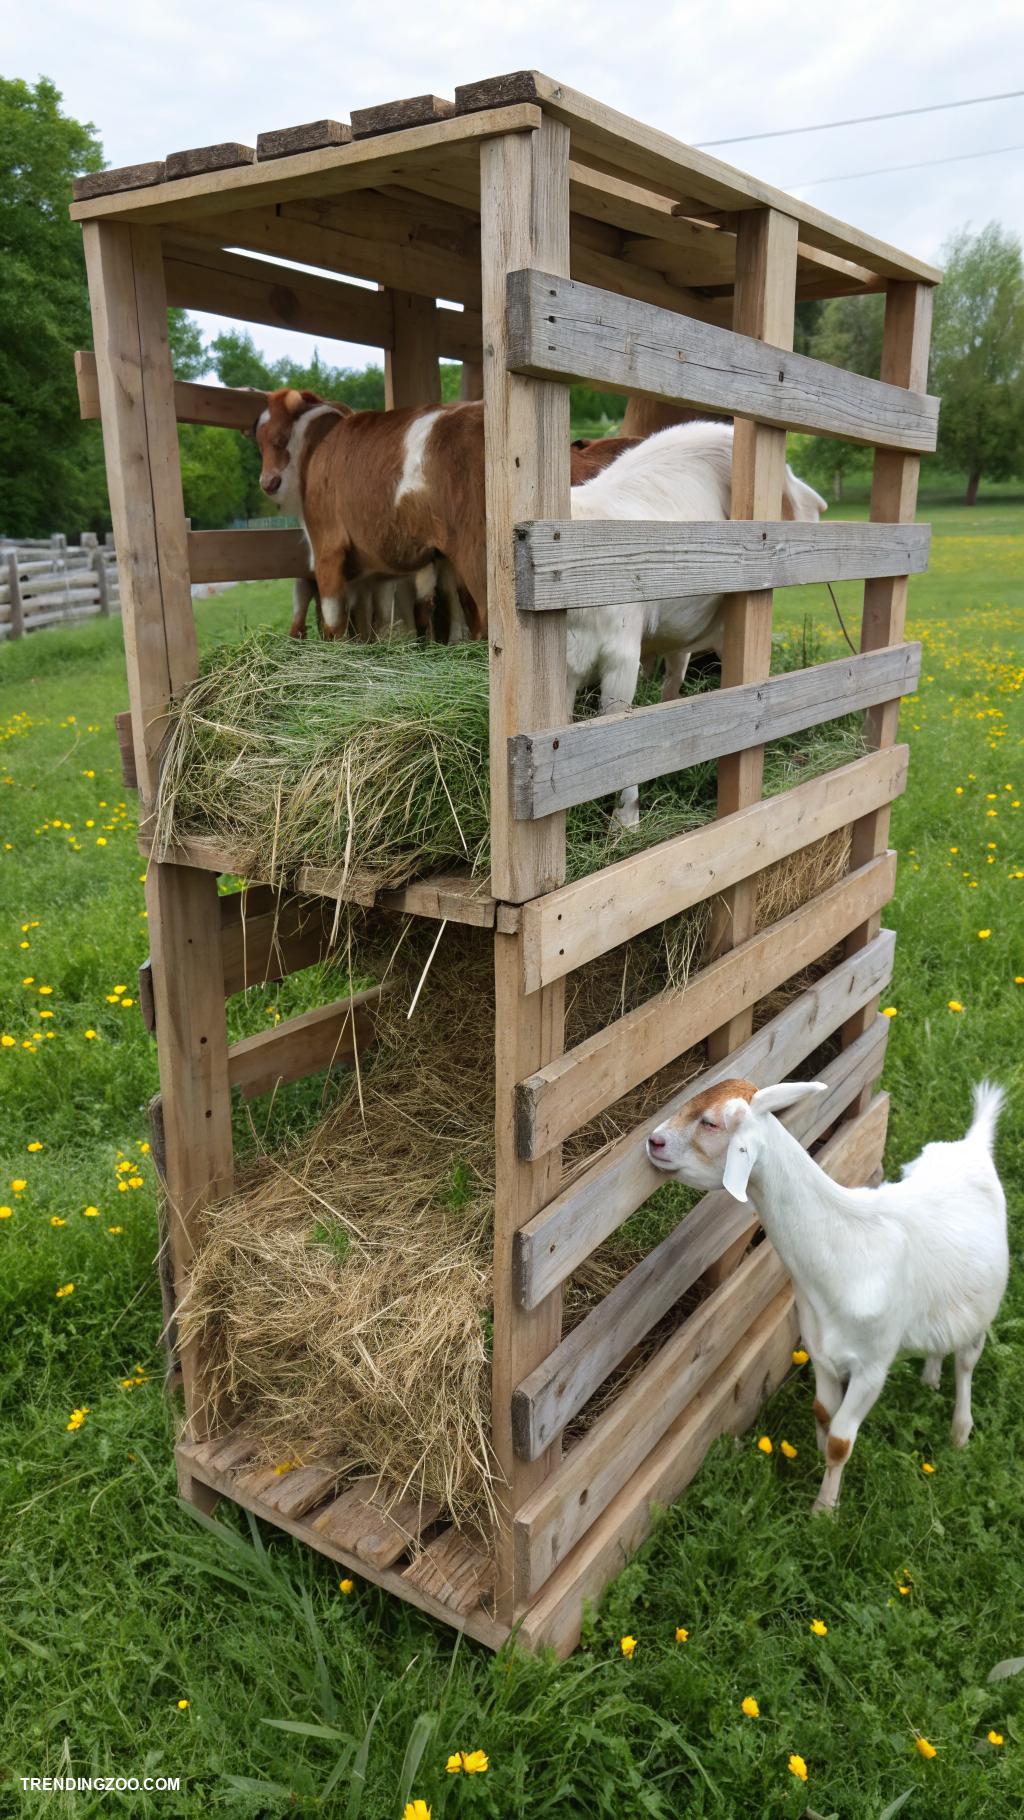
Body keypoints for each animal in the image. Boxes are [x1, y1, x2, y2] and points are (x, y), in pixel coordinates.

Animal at [645, 1079, 1009, 1513]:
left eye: (711, 1123)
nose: (653, 1141)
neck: (843, 1250)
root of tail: (974, 1145)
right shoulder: (818, 1347)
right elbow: (822, 1412)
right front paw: (818, 1460)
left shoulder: (872, 1366)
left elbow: (841, 1440)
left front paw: (824, 1510)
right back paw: (930, 1378)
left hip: (983, 1309)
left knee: (967, 1363)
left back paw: (959, 1432)